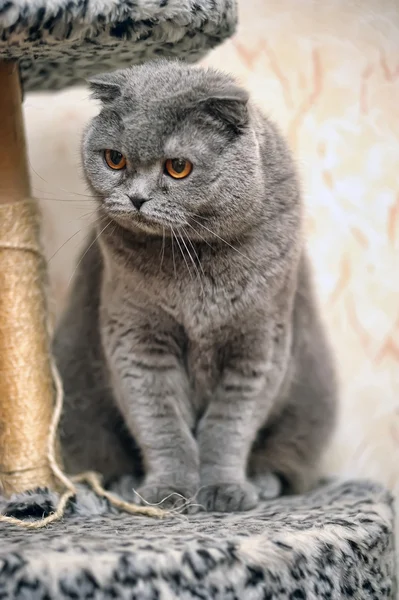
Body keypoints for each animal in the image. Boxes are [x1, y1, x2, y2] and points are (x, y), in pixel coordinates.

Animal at [54, 59, 338, 510]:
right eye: (114, 159)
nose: (136, 198)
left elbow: (229, 427)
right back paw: (121, 486)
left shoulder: (260, 343)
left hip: (309, 401)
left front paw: (223, 490)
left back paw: (261, 483)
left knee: (286, 459)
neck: (193, 263)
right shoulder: (136, 336)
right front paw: (168, 490)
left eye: (178, 167)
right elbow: (161, 422)